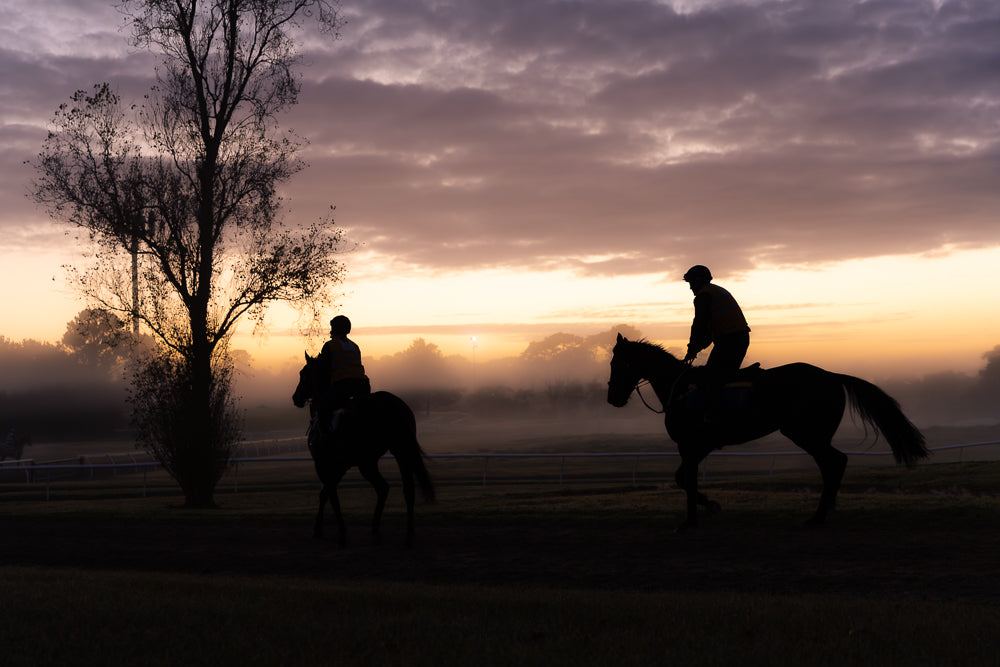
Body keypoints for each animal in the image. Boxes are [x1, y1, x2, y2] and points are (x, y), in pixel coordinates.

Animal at [292, 353, 435, 546]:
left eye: (303, 373)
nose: (295, 397)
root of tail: (395, 405)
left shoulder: (324, 464)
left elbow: (329, 494)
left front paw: (335, 530)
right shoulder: (341, 467)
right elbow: (326, 493)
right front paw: (321, 528)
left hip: (372, 461)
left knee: (385, 488)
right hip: (394, 453)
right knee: (400, 489)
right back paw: (403, 531)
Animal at [607, 334, 928, 531]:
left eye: (619, 363)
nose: (612, 398)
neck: (680, 388)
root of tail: (831, 376)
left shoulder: (692, 445)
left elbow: (685, 478)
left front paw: (694, 518)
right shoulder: (697, 448)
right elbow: (683, 479)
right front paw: (707, 506)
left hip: (806, 434)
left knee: (834, 462)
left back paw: (818, 516)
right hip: (813, 435)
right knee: (834, 463)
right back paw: (824, 512)